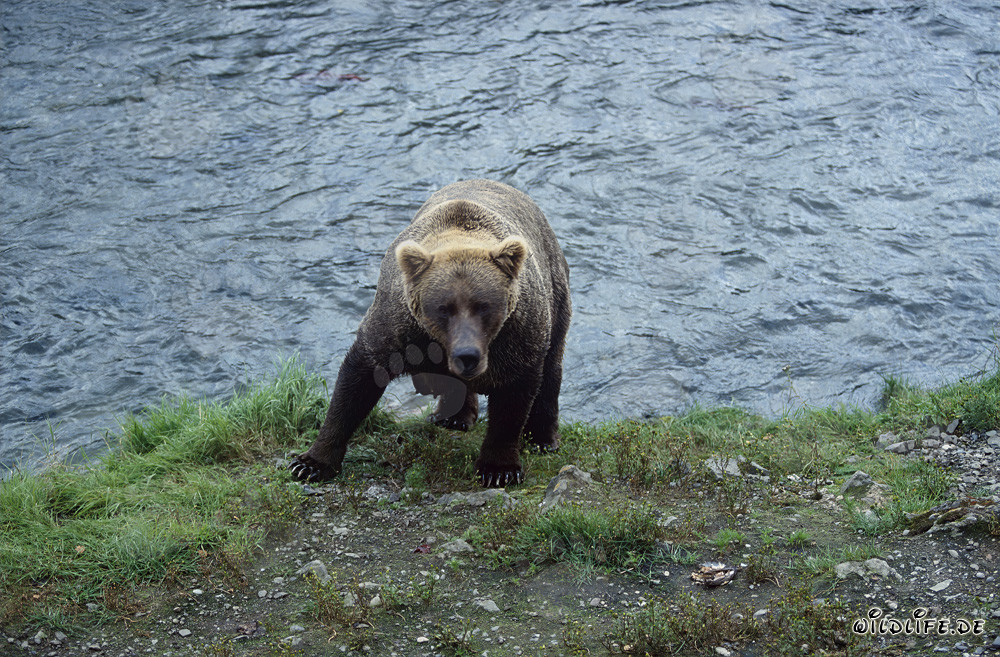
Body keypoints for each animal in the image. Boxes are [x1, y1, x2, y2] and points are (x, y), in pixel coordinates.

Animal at [289, 179, 571, 487]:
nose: (467, 355)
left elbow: (513, 398)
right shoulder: (399, 328)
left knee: (551, 367)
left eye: (484, 306)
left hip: (555, 293)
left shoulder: (515, 335)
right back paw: (454, 416)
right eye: (443, 308)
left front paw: (498, 469)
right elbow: (358, 380)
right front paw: (309, 463)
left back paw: (543, 438)